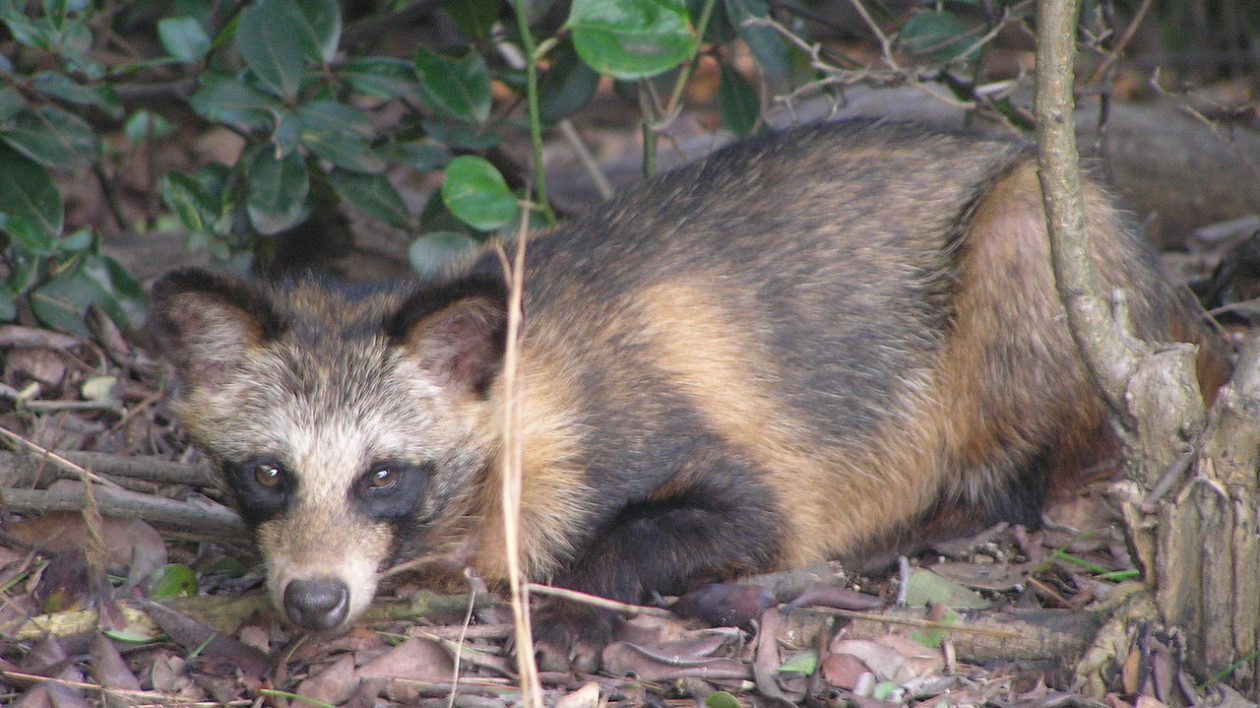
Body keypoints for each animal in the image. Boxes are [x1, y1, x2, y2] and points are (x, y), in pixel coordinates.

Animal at [152, 118, 1224, 665]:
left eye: (382, 476)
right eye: (267, 474)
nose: (313, 601)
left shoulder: (703, 441)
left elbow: (721, 519)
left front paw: (578, 597)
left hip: (1036, 242)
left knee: (1025, 464)